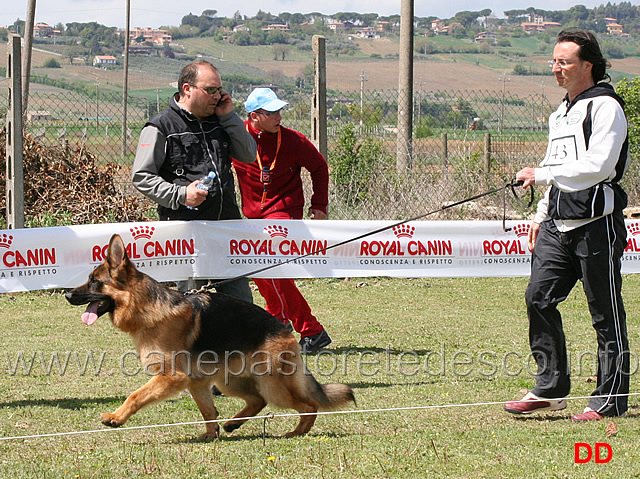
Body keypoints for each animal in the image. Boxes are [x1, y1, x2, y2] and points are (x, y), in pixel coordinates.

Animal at [65, 234, 356, 440]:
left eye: (94, 282)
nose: (66, 294)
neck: (146, 307)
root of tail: (284, 329)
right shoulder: (196, 382)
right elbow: (207, 411)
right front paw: (209, 434)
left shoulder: (173, 376)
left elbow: (135, 395)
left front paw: (116, 418)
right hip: (229, 382)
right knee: (258, 401)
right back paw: (233, 423)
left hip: (272, 384)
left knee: (308, 404)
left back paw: (297, 432)